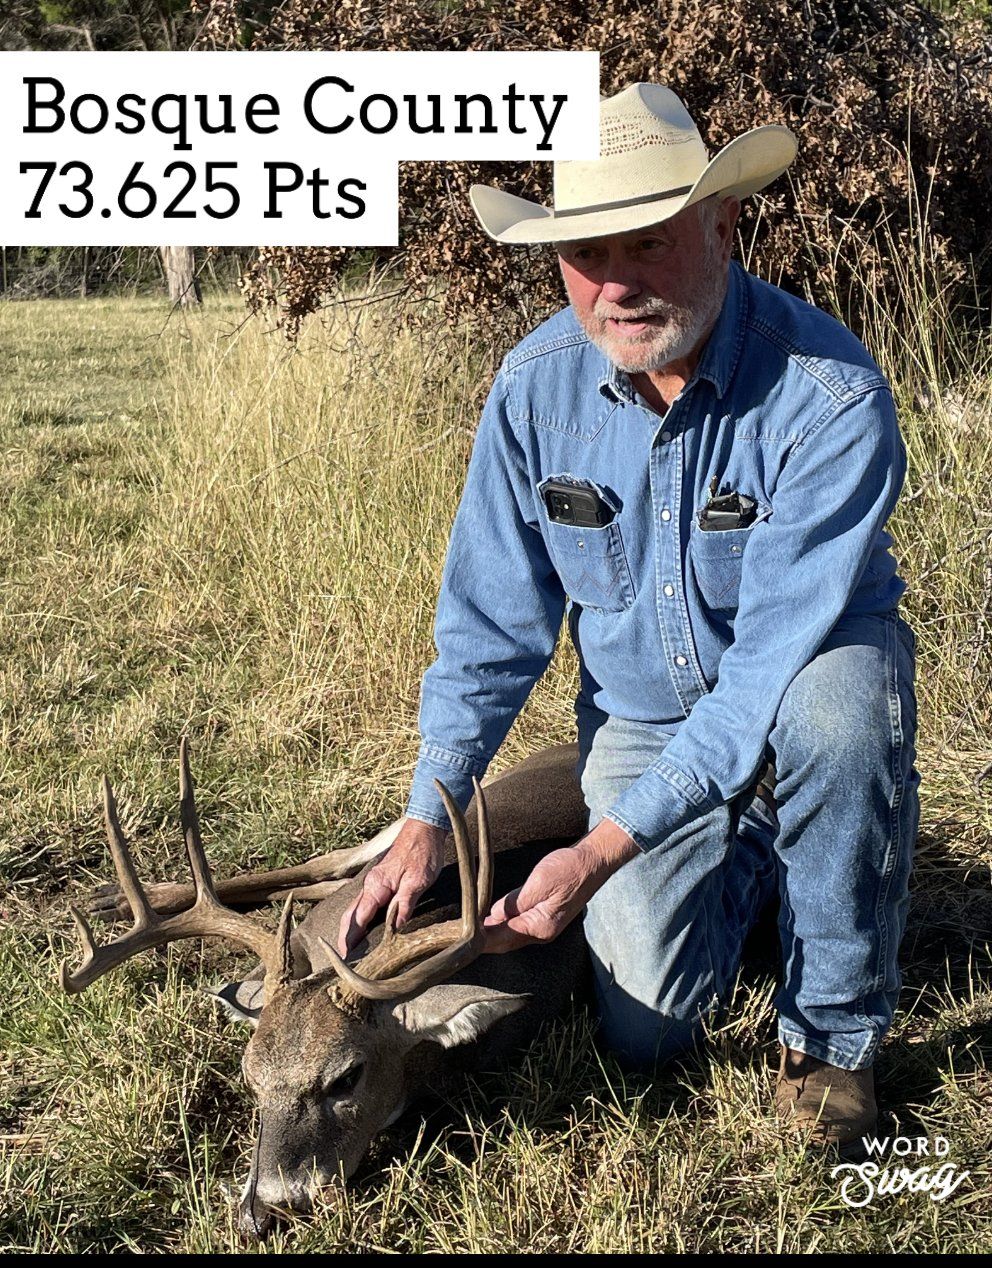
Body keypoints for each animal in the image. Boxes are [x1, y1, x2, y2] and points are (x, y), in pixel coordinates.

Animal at [60, 738, 592, 1238]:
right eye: (249, 1075)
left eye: (347, 1078)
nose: (266, 1210)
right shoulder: (308, 933)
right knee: (329, 863)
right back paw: (115, 899)